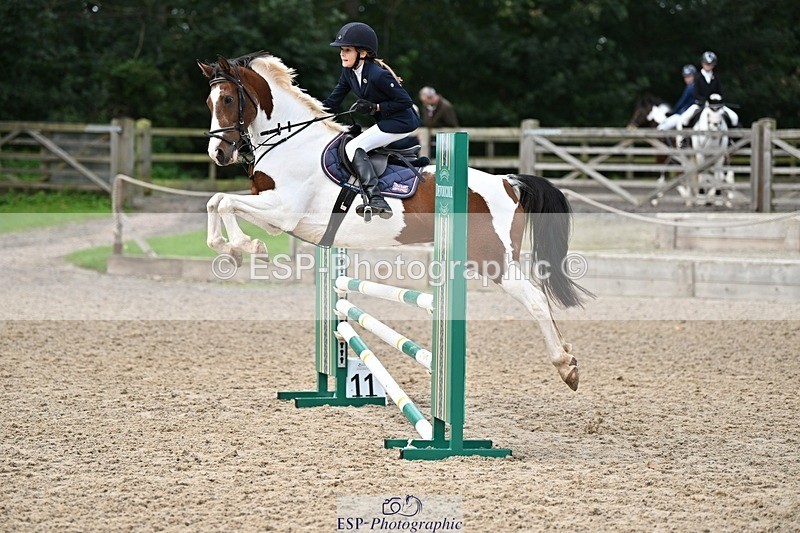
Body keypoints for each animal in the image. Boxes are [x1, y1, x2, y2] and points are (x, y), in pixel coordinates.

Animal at [197, 52, 591, 391]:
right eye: (209, 104)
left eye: (228, 100)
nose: (219, 153)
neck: (290, 143)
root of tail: (509, 182)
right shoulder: (274, 215)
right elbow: (216, 202)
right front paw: (228, 250)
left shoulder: (283, 211)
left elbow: (226, 203)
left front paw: (247, 247)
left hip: (493, 259)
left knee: (536, 299)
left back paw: (566, 366)